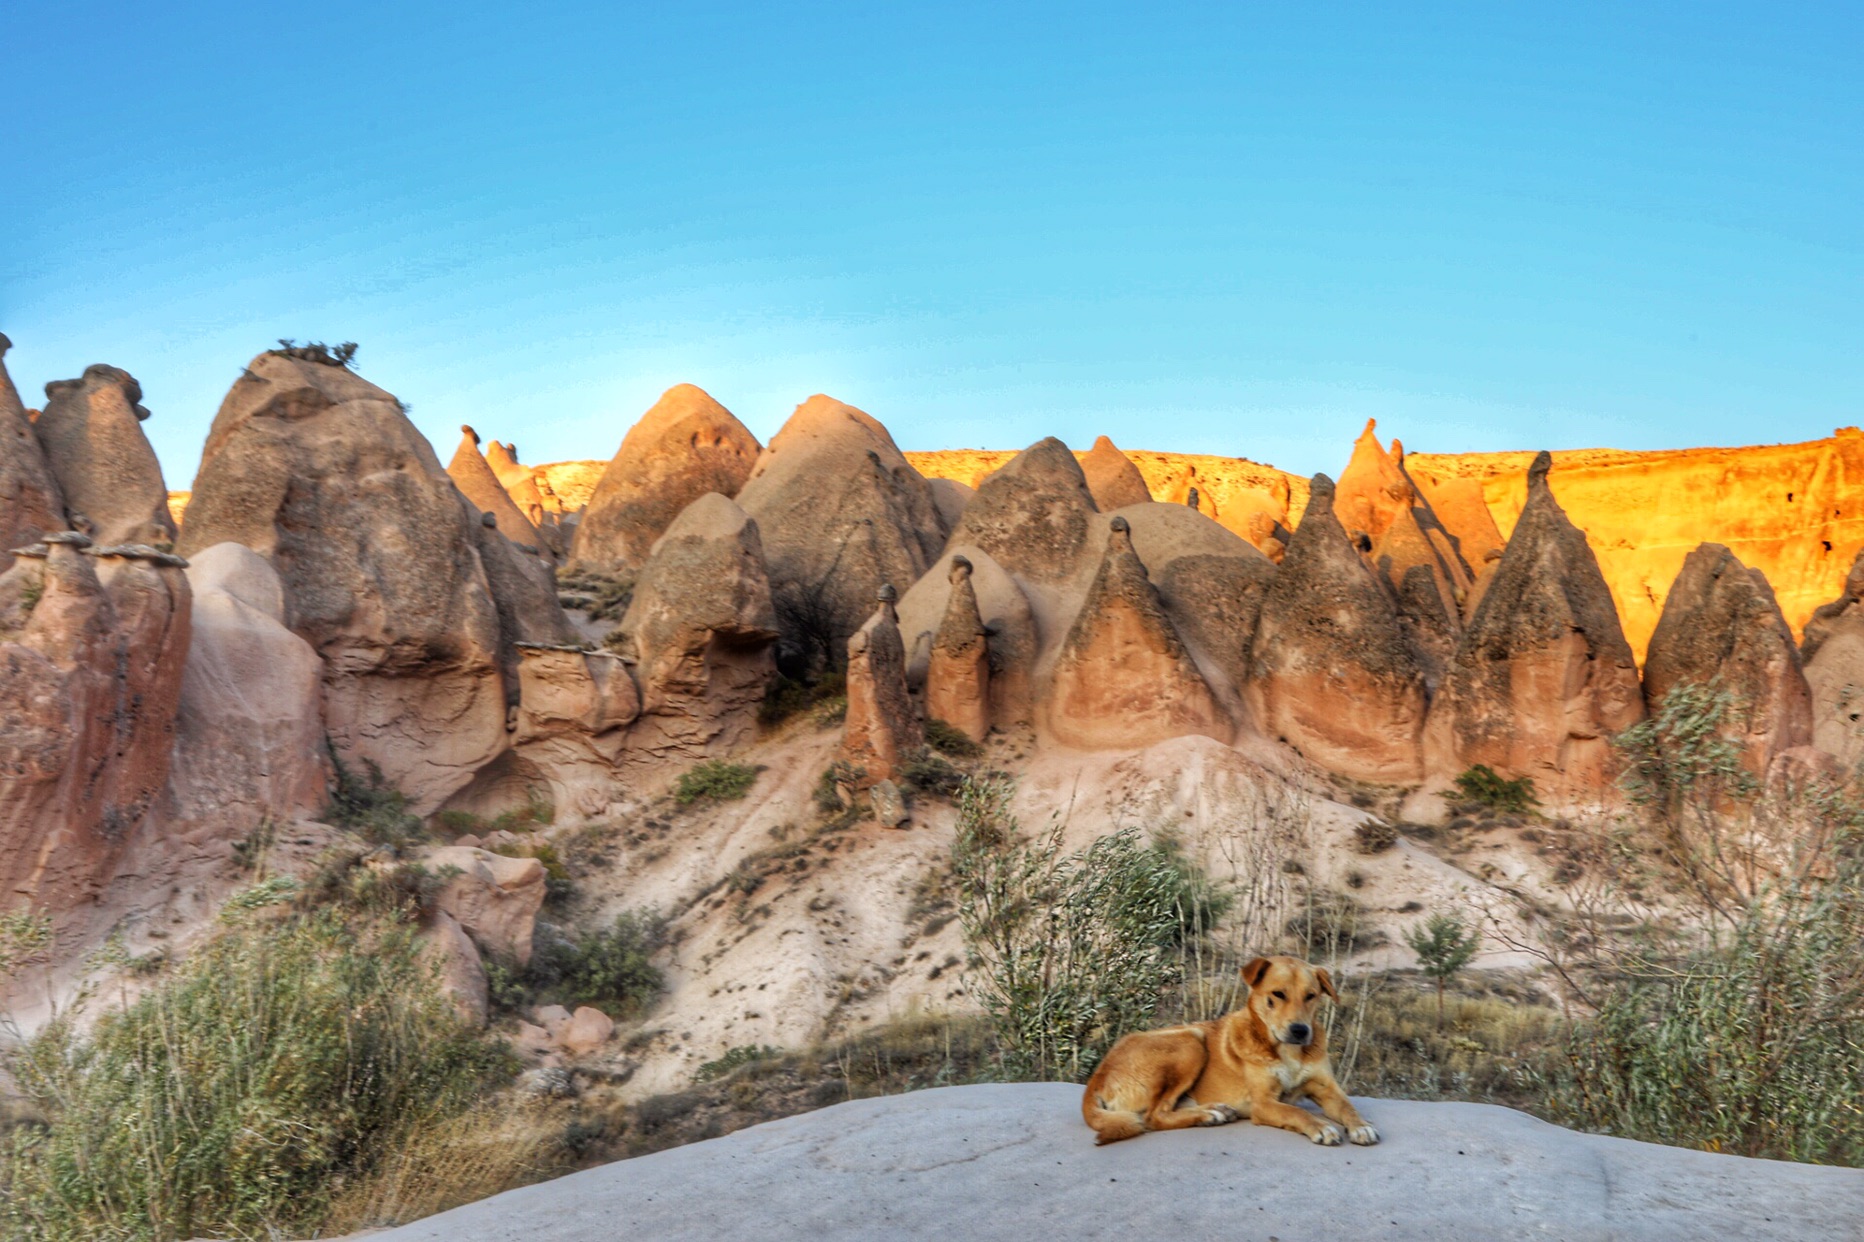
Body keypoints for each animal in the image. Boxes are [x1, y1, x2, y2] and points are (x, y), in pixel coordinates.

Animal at [1081, 951, 1386, 1148]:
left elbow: (1347, 1106)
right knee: (1154, 1116)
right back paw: (1208, 1115)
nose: (1300, 1031)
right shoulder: (1264, 1103)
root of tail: (1098, 1076)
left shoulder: (1327, 1089)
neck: (1287, 1052)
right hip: (1190, 1041)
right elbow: (1296, 1112)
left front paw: (1361, 1125)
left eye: (1311, 996)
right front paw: (1320, 1125)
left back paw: (1215, 1110)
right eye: (1277, 994)